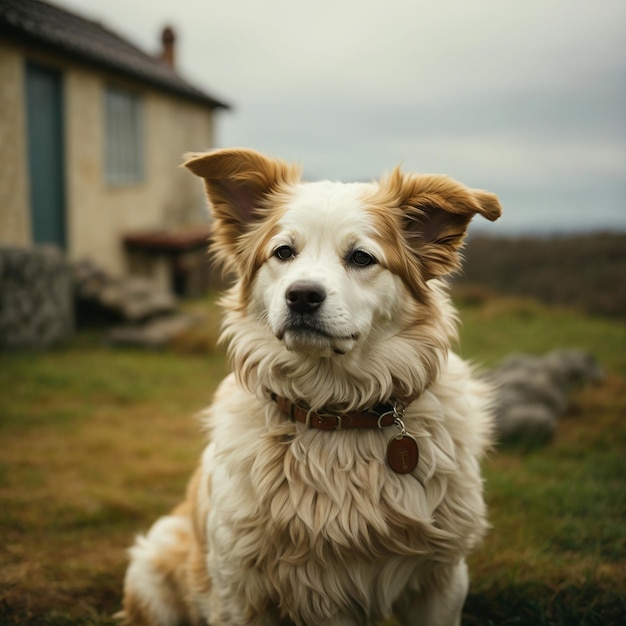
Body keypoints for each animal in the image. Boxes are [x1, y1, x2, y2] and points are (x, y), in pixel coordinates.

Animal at [120, 149, 502, 620]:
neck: (334, 413)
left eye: (361, 257)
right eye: (284, 252)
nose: (301, 295)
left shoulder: (442, 579)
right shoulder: (238, 590)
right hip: (155, 563)